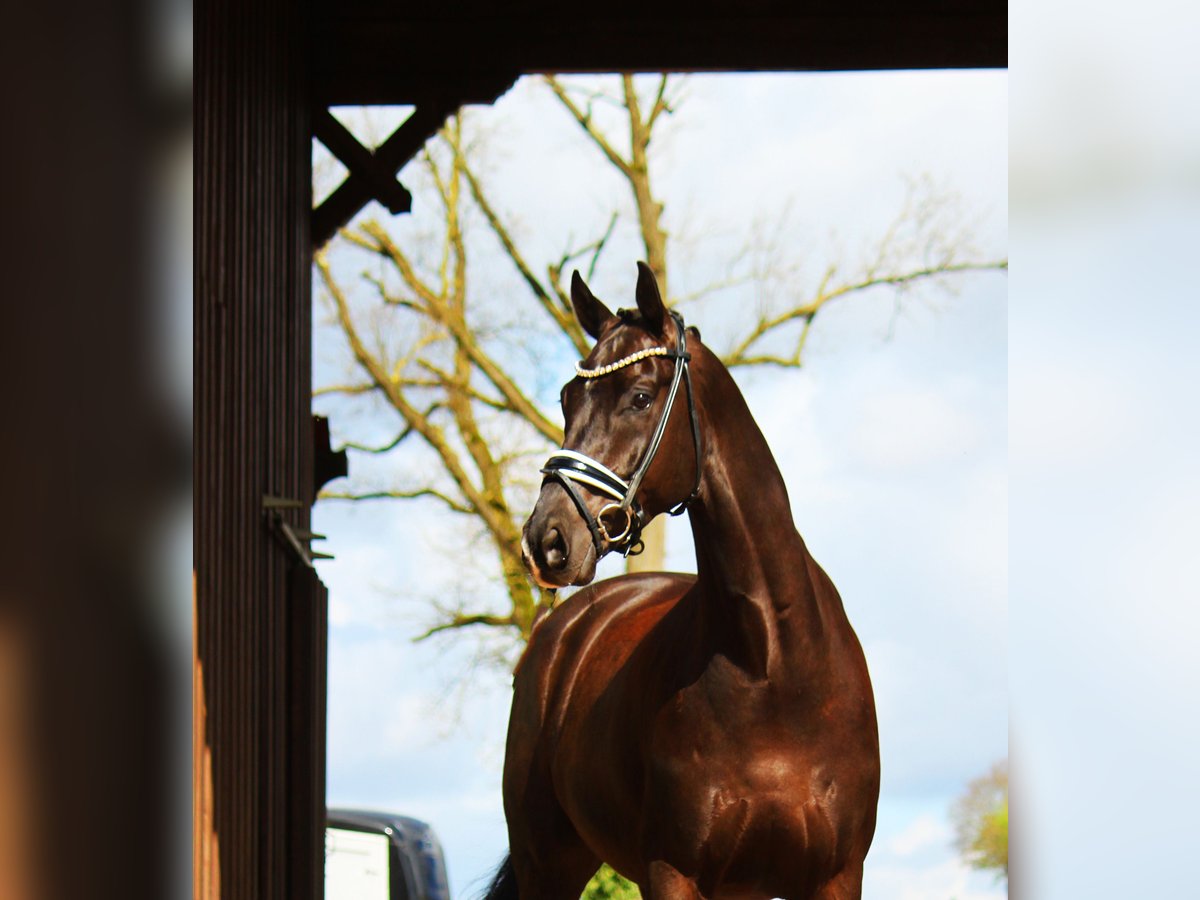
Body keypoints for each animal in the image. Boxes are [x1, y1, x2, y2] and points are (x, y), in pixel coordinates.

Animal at [492, 264, 878, 897]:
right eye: (568, 398)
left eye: (640, 397)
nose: (546, 541)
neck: (771, 662)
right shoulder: (672, 870)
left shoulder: (836, 876)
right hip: (545, 862)